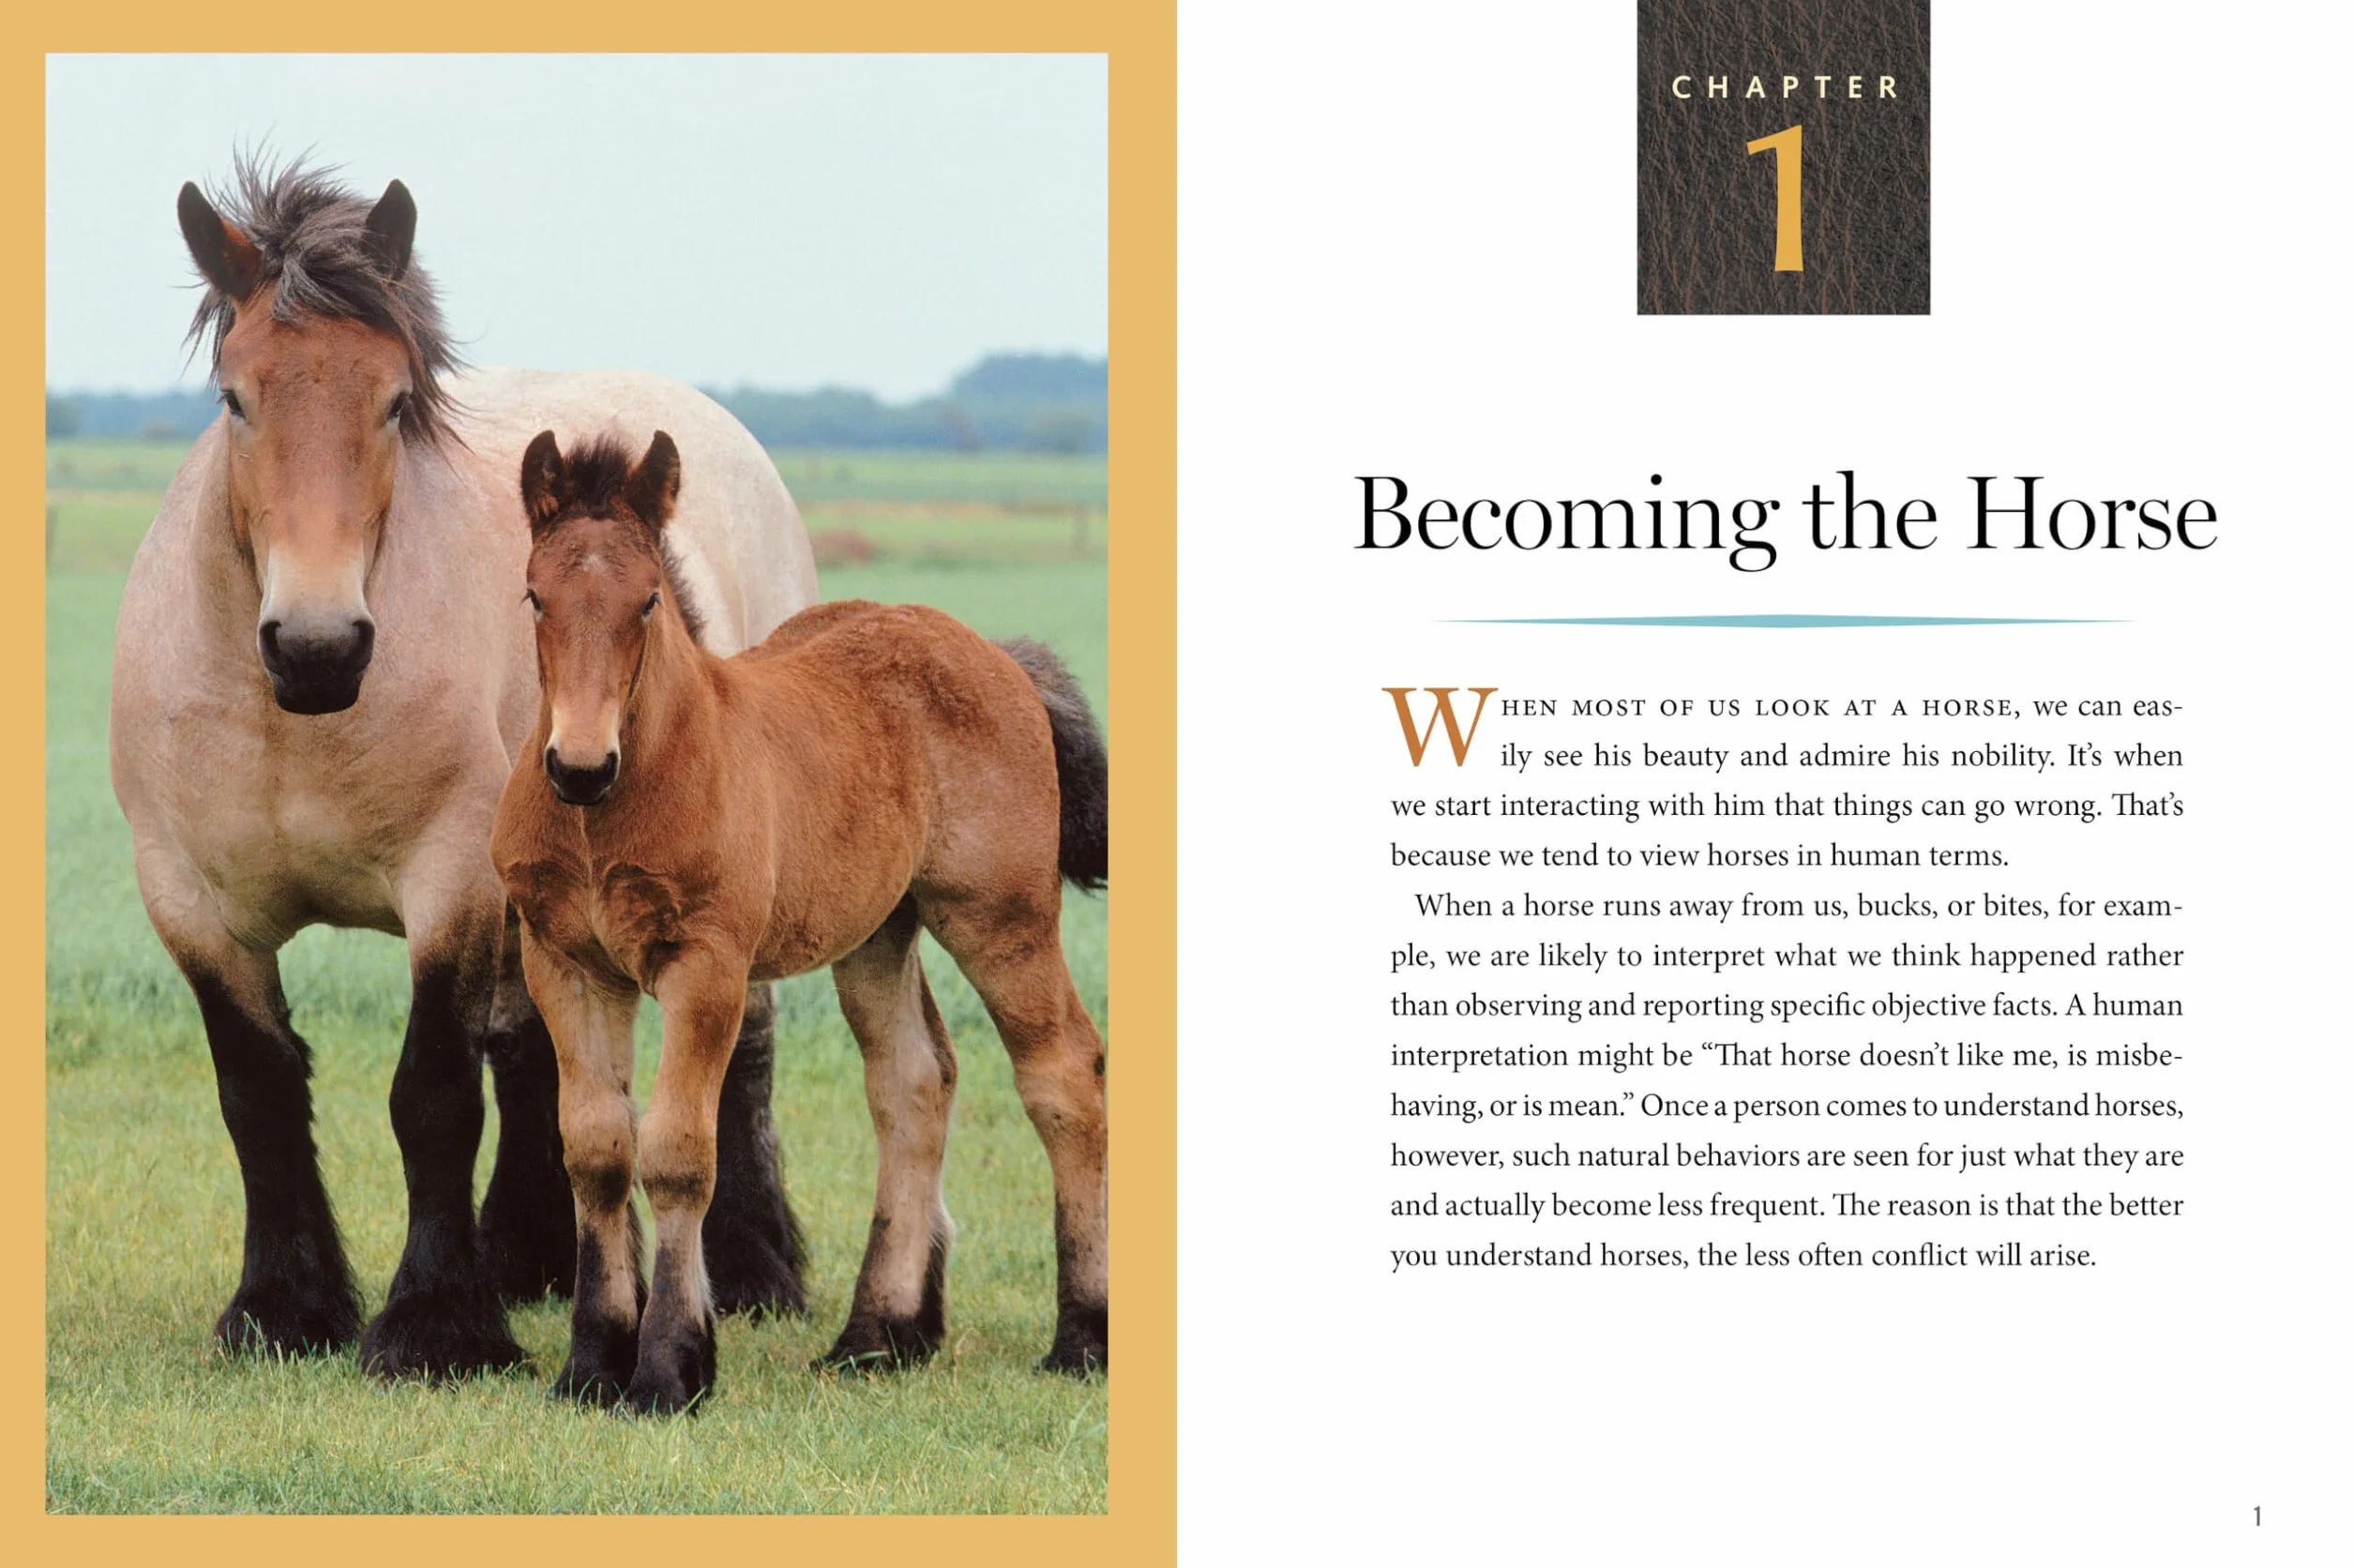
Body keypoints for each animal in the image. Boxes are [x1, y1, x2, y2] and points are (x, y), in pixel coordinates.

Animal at [108, 158, 820, 1380]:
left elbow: (431, 1092)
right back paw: (530, 1258)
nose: (318, 646)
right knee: (537, 1052)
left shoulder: (452, 885)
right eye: (237, 400)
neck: (287, 723)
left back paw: (754, 1269)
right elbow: (257, 1091)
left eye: (394, 401)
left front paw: (434, 1324)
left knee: (744, 1052)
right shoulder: (193, 905)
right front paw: (283, 1307)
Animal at [491, 431, 1109, 1413]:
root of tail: (996, 653)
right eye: (534, 595)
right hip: (878, 934)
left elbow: (677, 1153)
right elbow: (595, 1152)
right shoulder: (569, 966)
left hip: (1001, 914)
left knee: (1062, 1073)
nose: (580, 767)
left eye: (648, 600)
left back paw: (1082, 1337)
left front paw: (669, 1368)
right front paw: (591, 1363)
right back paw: (878, 1336)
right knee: (912, 1081)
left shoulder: (706, 965)